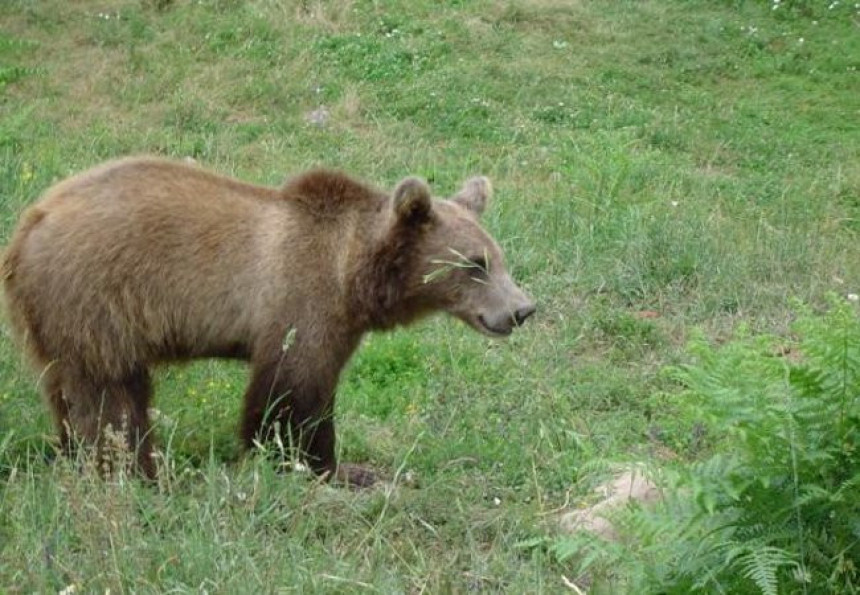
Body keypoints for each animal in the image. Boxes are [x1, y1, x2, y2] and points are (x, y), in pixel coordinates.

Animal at [1, 156, 536, 486]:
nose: (521, 309)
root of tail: (29, 224)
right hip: (97, 300)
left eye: (499, 258)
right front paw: (324, 466)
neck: (352, 275)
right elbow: (293, 394)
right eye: (475, 264)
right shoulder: (300, 300)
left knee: (69, 393)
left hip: (56, 321)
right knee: (111, 396)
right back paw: (136, 472)